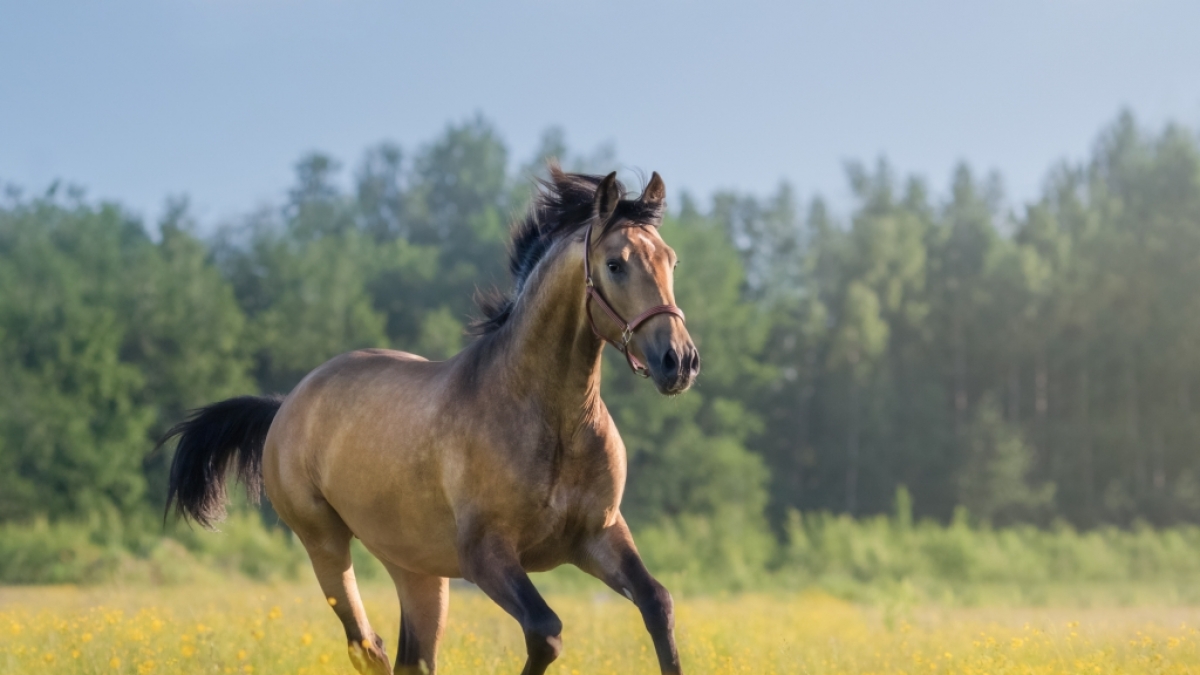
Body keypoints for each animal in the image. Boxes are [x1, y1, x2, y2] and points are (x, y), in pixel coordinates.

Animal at [162, 167, 700, 675]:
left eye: (671, 260)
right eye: (615, 264)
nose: (679, 361)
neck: (551, 421)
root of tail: (286, 404)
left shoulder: (598, 535)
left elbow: (659, 604)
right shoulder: (486, 555)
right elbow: (546, 632)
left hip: (416, 570)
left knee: (411, 658)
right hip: (325, 544)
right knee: (368, 647)